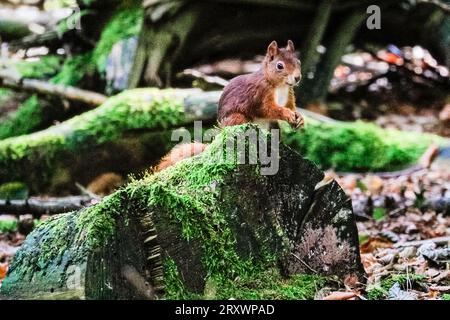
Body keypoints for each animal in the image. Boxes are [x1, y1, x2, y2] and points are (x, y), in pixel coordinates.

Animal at [156, 40, 306, 172]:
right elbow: (267, 109)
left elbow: (291, 107)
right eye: (279, 66)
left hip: (272, 126)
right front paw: (287, 114)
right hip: (238, 119)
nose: (297, 78)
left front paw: (299, 118)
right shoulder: (260, 95)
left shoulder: (289, 96)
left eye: (298, 62)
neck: (280, 86)